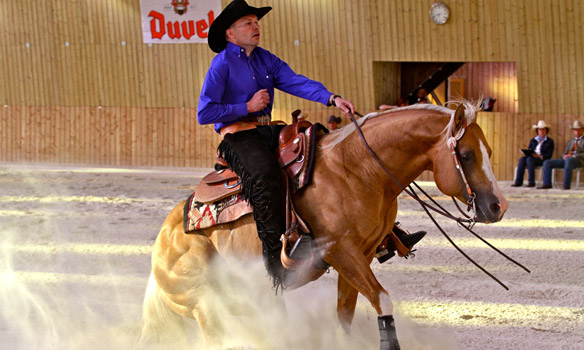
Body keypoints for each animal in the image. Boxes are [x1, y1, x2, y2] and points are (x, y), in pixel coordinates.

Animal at [138, 101, 506, 348]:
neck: (357, 169)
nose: (498, 206)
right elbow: (382, 300)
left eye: (489, 150)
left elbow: (345, 313)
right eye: (467, 155)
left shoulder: (360, 255)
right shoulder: (340, 250)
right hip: (206, 304)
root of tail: (164, 240)